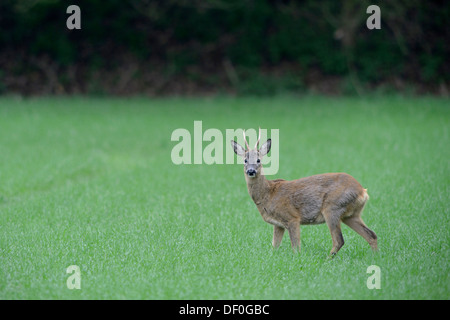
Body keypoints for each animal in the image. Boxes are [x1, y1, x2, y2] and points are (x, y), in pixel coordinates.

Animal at [232, 129, 376, 256]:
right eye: (245, 160)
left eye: (258, 160)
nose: (251, 171)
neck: (268, 194)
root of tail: (362, 191)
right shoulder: (278, 224)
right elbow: (274, 246)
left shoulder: (292, 218)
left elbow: (296, 247)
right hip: (351, 215)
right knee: (371, 235)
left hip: (333, 208)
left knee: (339, 240)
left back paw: (327, 260)